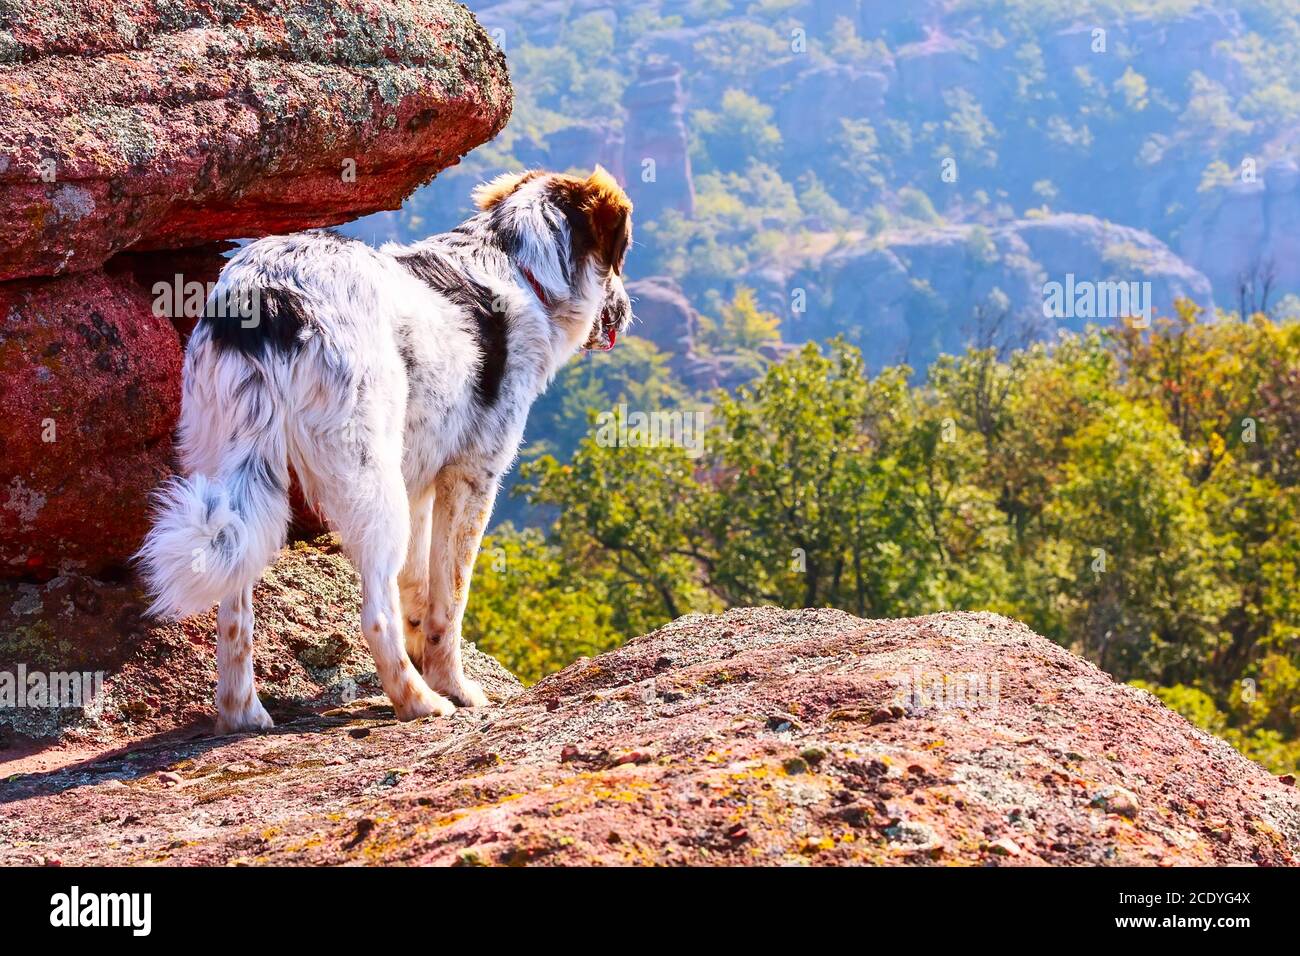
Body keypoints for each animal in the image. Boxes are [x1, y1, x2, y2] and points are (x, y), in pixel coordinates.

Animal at [138, 167, 634, 733]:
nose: (626, 310)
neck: (521, 265)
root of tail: (268, 294)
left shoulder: (420, 482)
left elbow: (417, 589)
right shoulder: (471, 478)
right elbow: (449, 599)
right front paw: (455, 685)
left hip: (229, 465)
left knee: (233, 607)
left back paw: (243, 714)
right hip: (370, 480)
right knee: (374, 612)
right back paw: (419, 701)